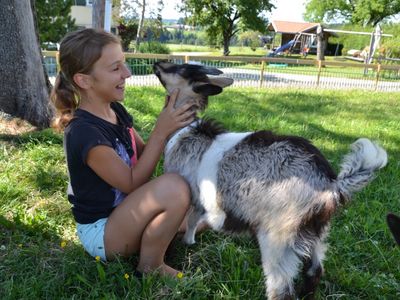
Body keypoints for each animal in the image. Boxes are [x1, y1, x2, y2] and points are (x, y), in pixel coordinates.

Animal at [153, 61, 388, 300]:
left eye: (181, 69)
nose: (157, 63)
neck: (186, 132)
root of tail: (331, 184)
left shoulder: (189, 191)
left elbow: (186, 220)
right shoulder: (200, 200)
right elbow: (193, 220)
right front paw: (189, 242)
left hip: (279, 237)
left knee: (281, 287)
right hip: (317, 233)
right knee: (315, 270)